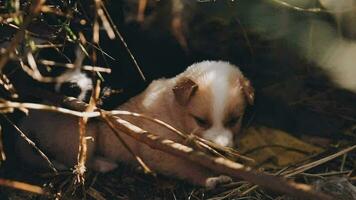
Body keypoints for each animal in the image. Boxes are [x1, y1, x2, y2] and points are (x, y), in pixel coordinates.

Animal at [18, 60, 254, 188]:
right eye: (201, 121)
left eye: (234, 120)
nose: (220, 150)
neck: (173, 110)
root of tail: (32, 116)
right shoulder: (160, 152)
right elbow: (189, 165)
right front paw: (211, 178)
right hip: (85, 132)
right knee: (77, 161)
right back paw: (104, 164)